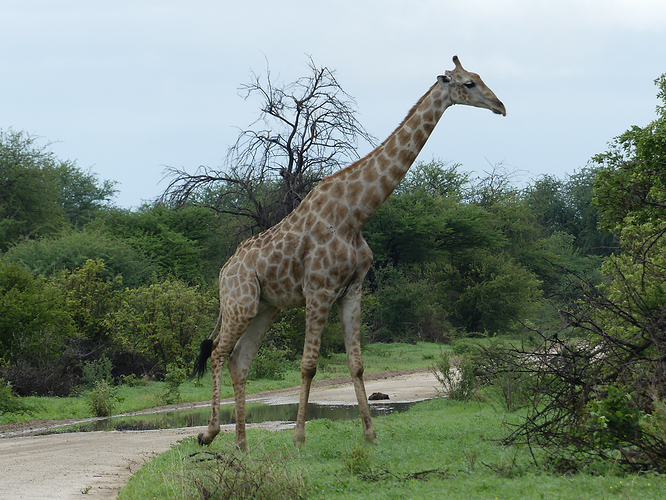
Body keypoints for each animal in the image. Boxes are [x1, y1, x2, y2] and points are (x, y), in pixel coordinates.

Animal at [192, 55, 504, 450]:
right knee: (218, 352)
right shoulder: (319, 290)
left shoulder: (352, 290)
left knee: (240, 361)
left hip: (266, 308)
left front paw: (370, 434)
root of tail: (223, 271)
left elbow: (356, 364)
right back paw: (209, 433)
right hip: (240, 302)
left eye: (479, 77)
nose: (501, 106)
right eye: (468, 84)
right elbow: (308, 364)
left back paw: (242, 444)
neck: (356, 214)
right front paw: (299, 438)